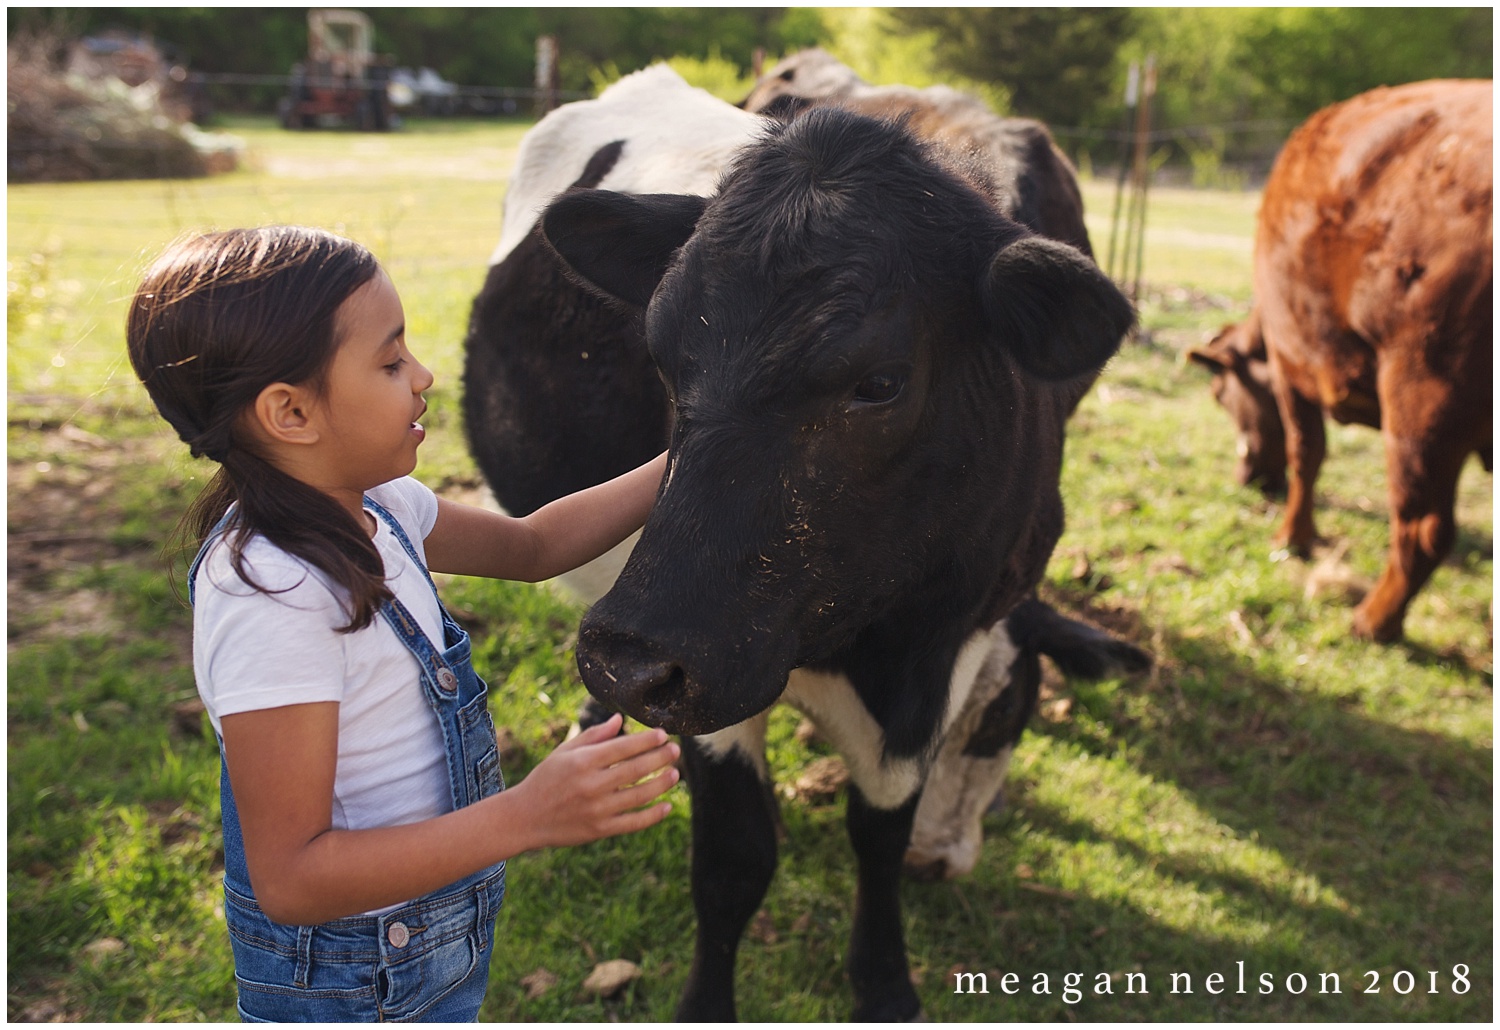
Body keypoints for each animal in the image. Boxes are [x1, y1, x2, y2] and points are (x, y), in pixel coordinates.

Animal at [462, 66, 1140, 1025]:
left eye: (882, 382)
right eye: (662, 356)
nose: (631, 659)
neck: (882, 643)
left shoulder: (951, 645)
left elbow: (879, 830)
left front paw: (886, 979)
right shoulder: (713, 666)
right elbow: (734, 858)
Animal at [1188, 80, 1494, 641]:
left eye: (1220, 396)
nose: (1247, 480)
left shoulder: (1290, 365)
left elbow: (1305, 453)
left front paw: (1293, 536)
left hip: (1421, 404)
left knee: (1424, 530)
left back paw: (1374, 621)